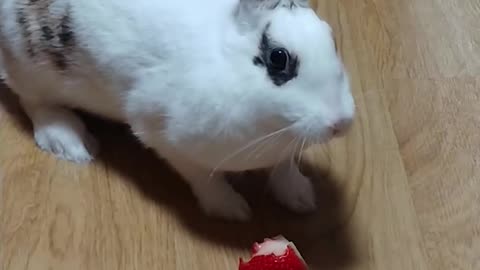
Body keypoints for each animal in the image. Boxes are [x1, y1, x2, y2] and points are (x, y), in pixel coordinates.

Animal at [0, 0, 352, 220]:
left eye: (332, 39)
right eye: (278, 58)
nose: (341, 123)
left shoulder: (284, 148)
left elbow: (285, 167)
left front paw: (301, 198)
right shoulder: (166, 137)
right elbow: (203, 179)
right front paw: (231, 209)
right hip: (30, 68)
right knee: (34, 103)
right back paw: (70, 142)